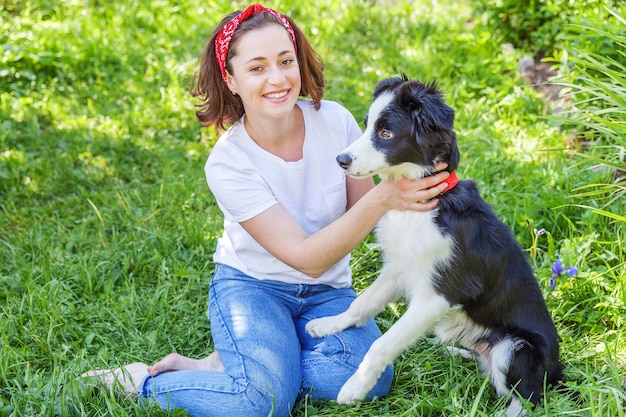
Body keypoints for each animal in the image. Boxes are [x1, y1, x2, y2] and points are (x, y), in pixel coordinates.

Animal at [304, 75, 564, 416]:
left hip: (515, 348)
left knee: (526, 400)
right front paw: (329, 324)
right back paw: (454, 351)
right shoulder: (398, 268)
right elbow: (360, 304)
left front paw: (355, 387)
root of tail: (559, 373)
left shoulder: (440, 295)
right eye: (366, 124)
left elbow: (382, 343)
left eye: (386, 133)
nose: (341, 160)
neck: (419, 208)